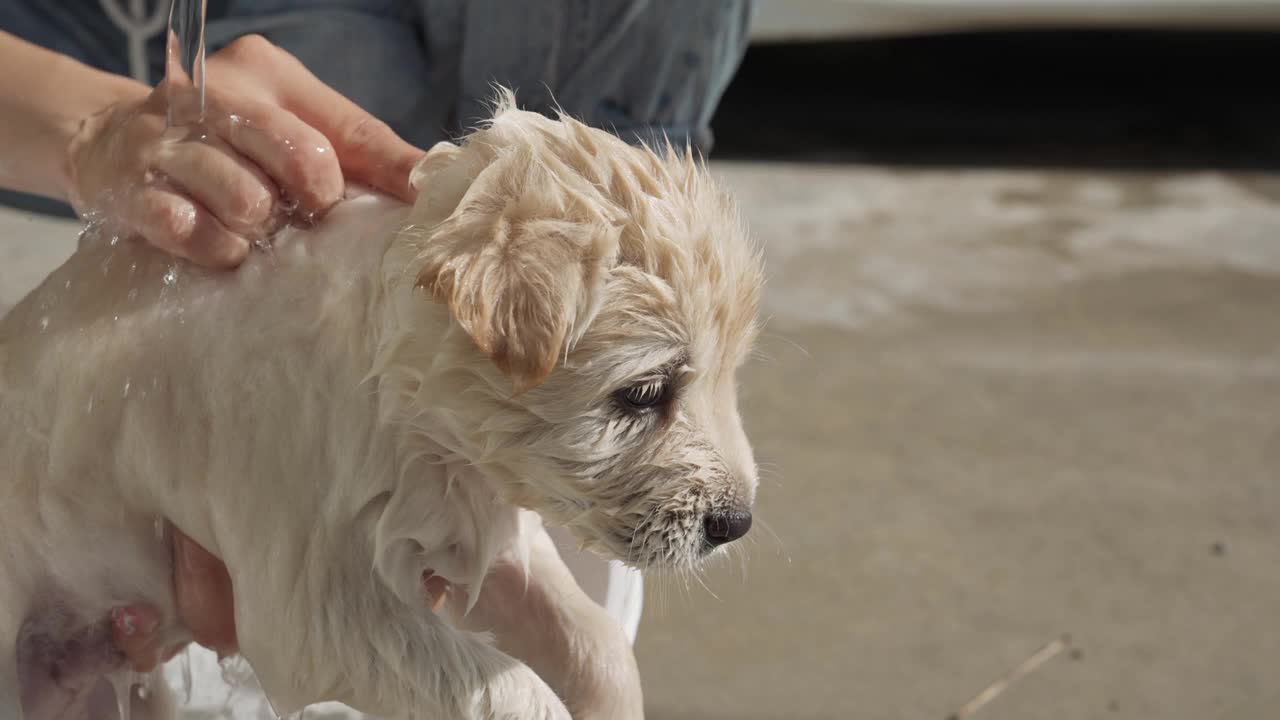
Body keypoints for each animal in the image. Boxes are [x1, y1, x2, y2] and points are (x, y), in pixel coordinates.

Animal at [0, 95, 757, 717]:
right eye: (644, 393)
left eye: (727, 378)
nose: (736, 524)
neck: (400, 400)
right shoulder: (320, 605)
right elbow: (514, 691)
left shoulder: (483, 526)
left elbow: (596, 644)